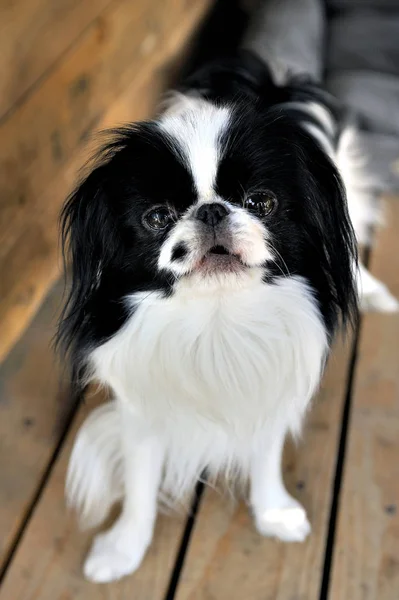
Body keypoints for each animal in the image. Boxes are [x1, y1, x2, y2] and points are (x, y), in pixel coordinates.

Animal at [57, 51, 398, 580]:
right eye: (157, 217)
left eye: (262, 202)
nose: (213, 210)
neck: (218, 316)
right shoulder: (143, 411)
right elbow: (139, 484)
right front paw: (122, 550)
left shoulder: (269, 390)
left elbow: (265, 458)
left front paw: (275, 513)